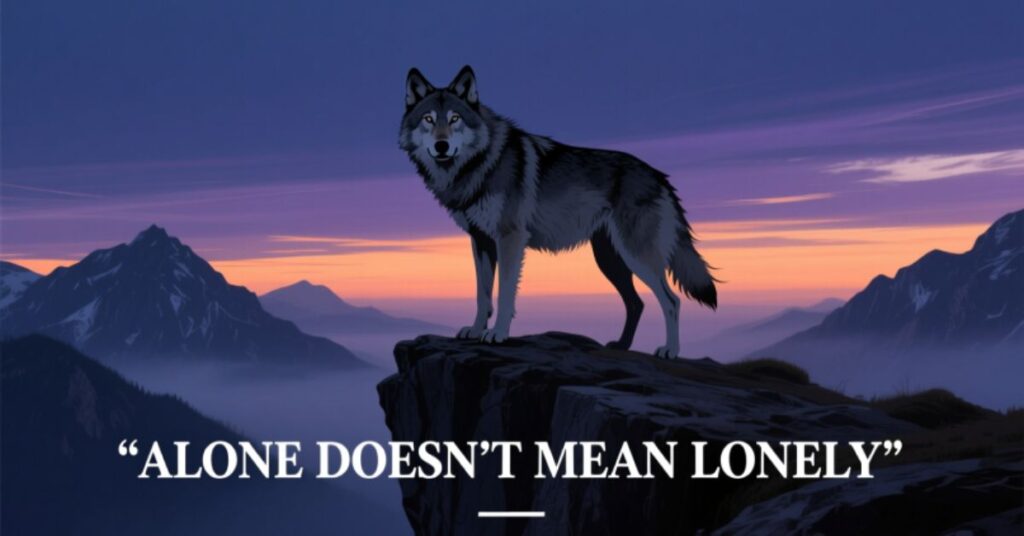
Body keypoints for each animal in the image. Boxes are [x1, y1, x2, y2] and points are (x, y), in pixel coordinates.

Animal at [399, 66, 717, 358]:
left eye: (455, 119)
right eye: (429, 119)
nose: (441, 145)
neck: (481, 164)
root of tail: (660, 176)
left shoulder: (510, 239)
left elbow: (504, 294)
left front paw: (498, 334)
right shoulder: (481, 242)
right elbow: (482, 295)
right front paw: (476, 331)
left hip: (636, 257)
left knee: (671, 301)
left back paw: (670, 351)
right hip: (610, 260)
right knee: (637, 303)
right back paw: (621, 346)